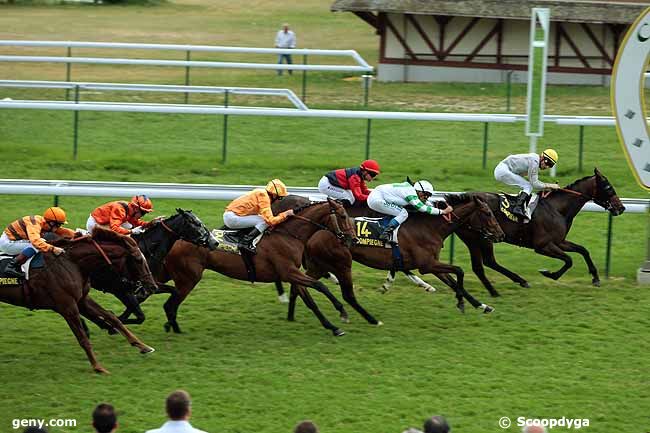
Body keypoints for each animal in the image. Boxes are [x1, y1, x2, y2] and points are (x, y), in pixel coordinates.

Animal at [0, 228, 158, 372]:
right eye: (138, 260)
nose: (152, 286)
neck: (72, 263)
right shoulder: (68, 307)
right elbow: (82, 338)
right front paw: (98, 367)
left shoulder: (82, 300)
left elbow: (112, 317)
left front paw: (143, 346)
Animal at [149, 197, 356, 336]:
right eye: (343, 215)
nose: (352, 239)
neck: (288, 234)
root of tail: (176, 239)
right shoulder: (289, 272)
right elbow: (320, 286)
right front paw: (342, 312)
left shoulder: (292, 274)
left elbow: (310, 301)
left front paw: (333, 327)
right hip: (188, 279)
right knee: (170, 304)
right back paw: (175, 330)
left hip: (170, 275)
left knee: (166, 301)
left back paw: (170, 327)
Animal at [276, 192, 504, 320]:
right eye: (488, 213)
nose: (500, 234)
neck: (430, 226)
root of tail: (316, 231)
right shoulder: (427, 265)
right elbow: (459, 271)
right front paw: (462, 303)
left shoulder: (431, 264)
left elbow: (455, 281)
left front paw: (482, 305)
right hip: (340, 262)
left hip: (320, 264)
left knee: (299, 285)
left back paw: (292, 315)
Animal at [450, 167, 624, 296]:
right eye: (608, 187)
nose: (621, 207)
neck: (557, 208)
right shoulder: (542, 246)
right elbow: (569, 260)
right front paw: (549, 273)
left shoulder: (559, 241)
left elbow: (583, 250)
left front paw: (595, 278)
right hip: (482, 236)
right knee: (488, 261)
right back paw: (518, 281)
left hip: (473, 238)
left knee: (482, 265)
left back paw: (511, 284)